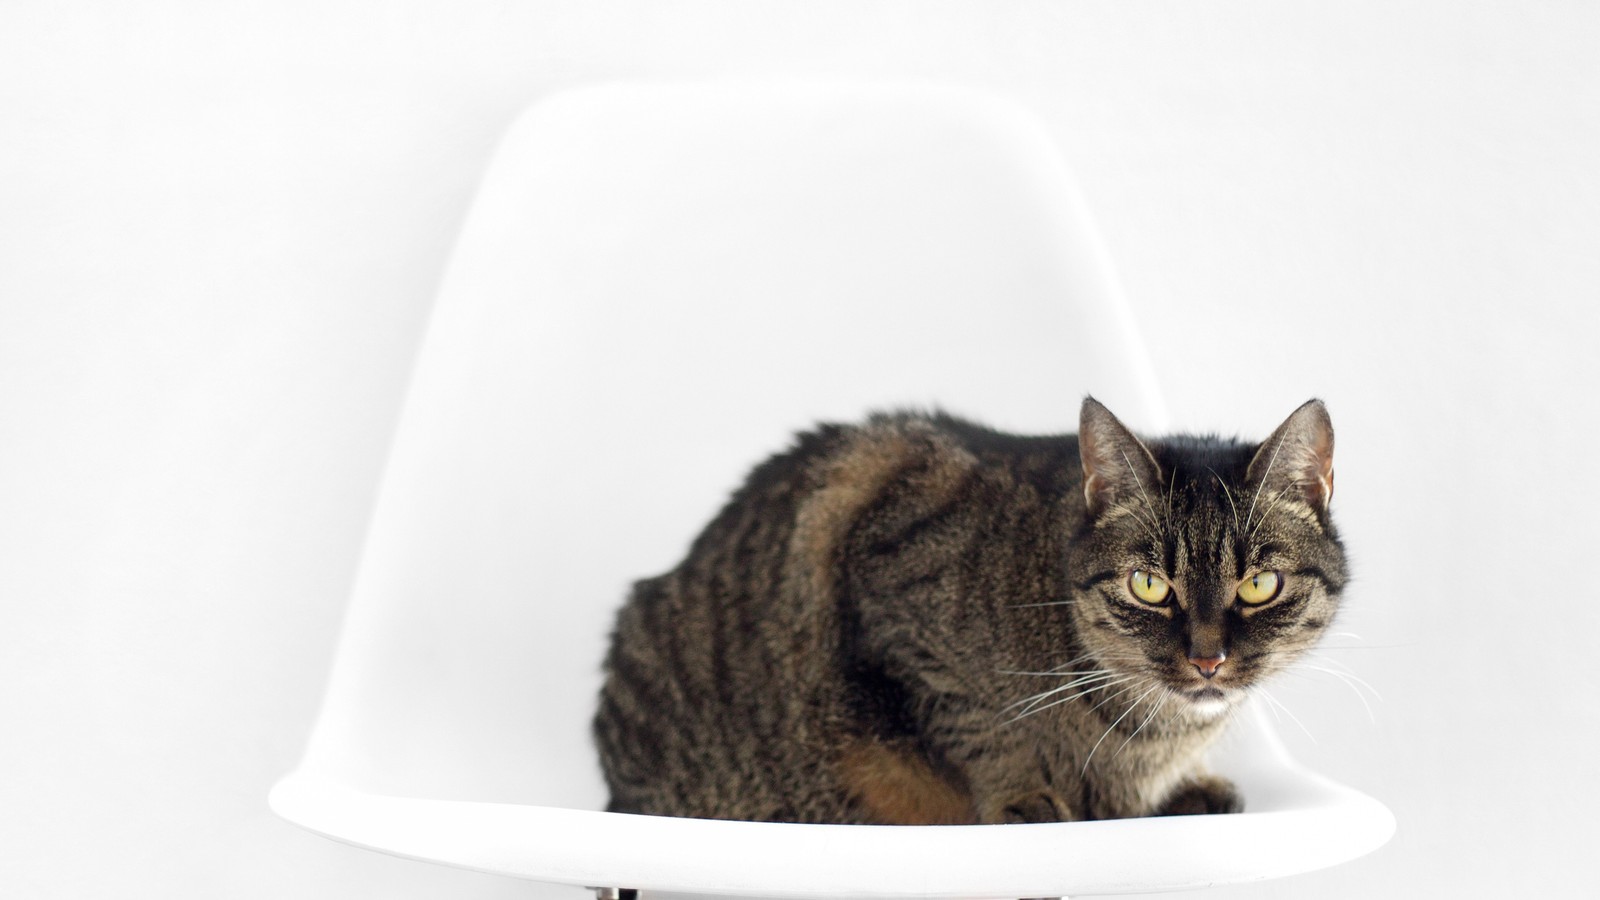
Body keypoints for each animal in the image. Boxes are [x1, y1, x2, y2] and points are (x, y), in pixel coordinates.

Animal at [595, 395, 1344, 826]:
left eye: (1259, 585)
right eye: (1149, 586)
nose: (1207, 658)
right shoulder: (900, 599)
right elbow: (980, 723)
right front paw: (1019, 793)